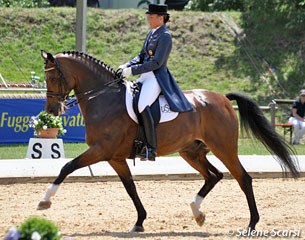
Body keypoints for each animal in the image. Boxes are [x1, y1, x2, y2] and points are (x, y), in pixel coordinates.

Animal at [36, 50, 298, 232]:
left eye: (55, 77)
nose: (51, 110)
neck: (105, 99)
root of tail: (223, 98)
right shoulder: (115, 157)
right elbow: (130, 187)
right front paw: (139, 221)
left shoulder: (101, 150)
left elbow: (67, 166)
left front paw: (44, 201)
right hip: (191, 152)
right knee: (214, 176)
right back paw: (197, 213)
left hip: (223, 148)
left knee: (243, 179)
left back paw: (251, 224)